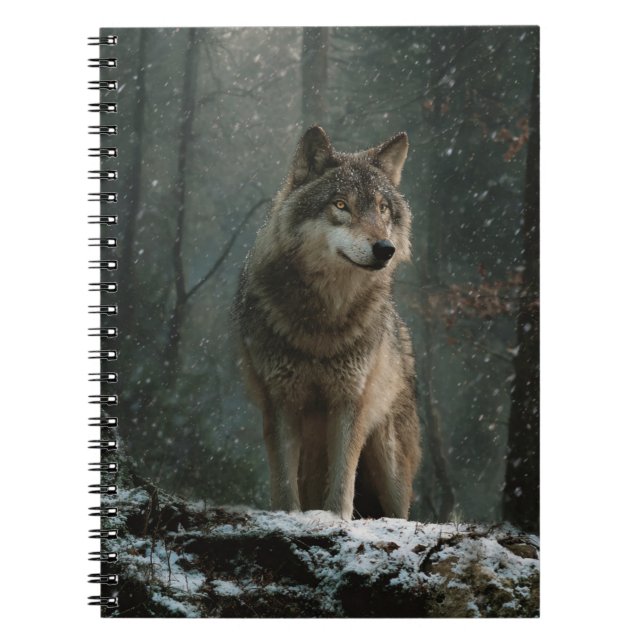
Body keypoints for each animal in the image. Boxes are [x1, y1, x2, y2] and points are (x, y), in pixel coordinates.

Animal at [234, 126, 421, 521]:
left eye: (382, 208)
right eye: (340, 205)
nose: (385, 248)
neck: (323, 321)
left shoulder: (350, 402)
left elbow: (342, 483)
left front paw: (337, 519)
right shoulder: (281, 401)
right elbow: (284, 483)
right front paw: (291, 518)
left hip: (390, 462)